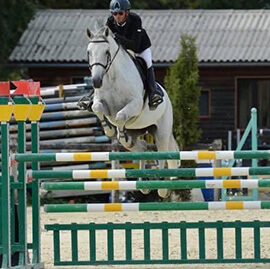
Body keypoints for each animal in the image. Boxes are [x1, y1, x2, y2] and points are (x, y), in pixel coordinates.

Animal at [85, 26, 201, 200]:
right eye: (89, 52)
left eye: (106, 52)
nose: (96, 81)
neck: (112, 77)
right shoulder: (102, 103)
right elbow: (97, 108)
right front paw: (110, 130)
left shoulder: (134, 104)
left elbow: (120, 115)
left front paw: (116, 131)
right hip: (139, 131)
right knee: (141, 148)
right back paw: (143, 180)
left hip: (162, 131)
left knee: (162, 153)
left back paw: (162, 187)